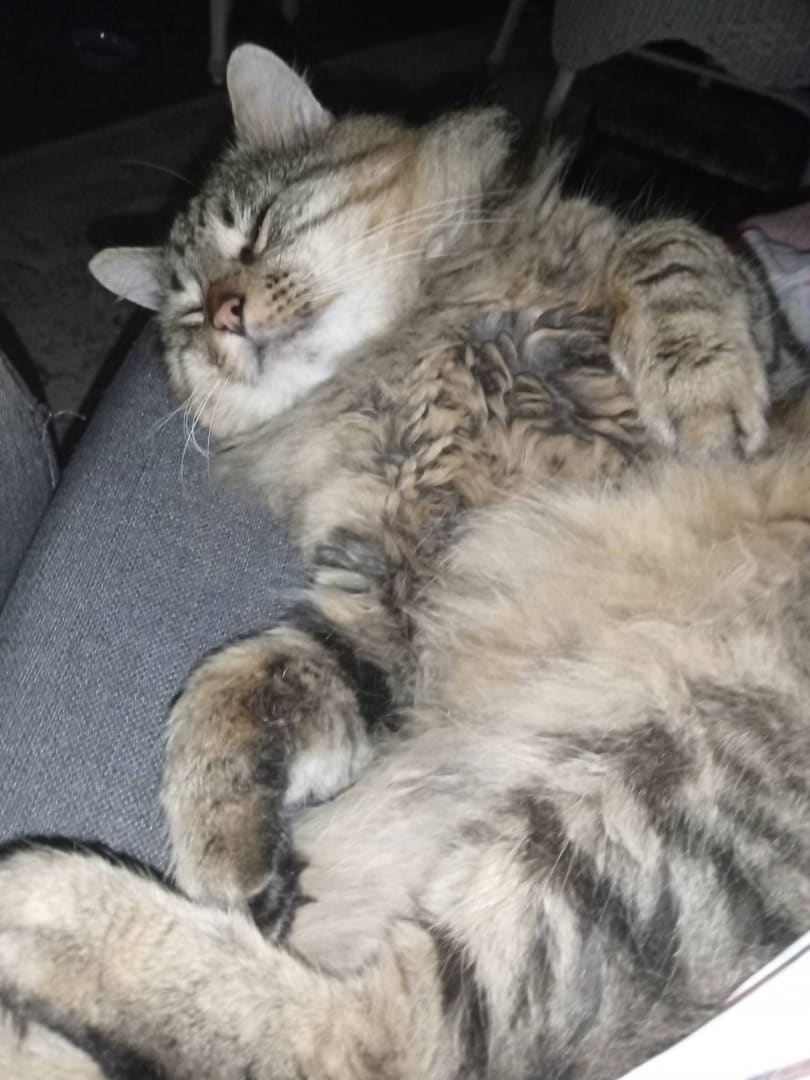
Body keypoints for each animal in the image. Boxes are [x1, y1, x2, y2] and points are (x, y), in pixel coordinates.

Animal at [2, 43, 810, 1080]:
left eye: (252, 231)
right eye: (183, 312)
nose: (224, 314)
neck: (398, 357)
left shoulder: (752, 329)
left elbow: (668, 249)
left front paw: (698, 386)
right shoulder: (379, 608)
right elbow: (227, 691)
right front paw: (226, 852)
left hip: (655, 804)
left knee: (391, 1037)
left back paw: (43, 905)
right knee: (378, 1033)